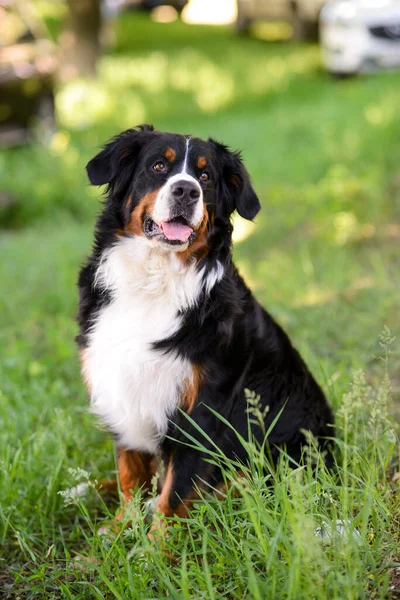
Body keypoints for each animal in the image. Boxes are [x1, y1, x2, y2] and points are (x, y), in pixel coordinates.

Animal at [76, 124, 332, 532]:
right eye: (159, 166)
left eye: (206, 176)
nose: (187, 190)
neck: (154, 280)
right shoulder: (120, 383)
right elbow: (130, 471)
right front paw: (119, 530)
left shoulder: (204, 404)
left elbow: (174, 490)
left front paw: (155, 546)